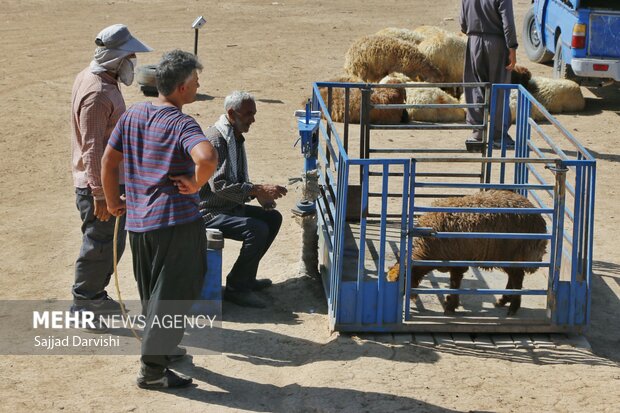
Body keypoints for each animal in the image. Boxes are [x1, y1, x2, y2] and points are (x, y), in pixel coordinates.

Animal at [388, 190, 548, 316]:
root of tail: (539, 221)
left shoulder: (457, 261)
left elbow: (455, 283)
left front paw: (450, 306)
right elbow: (454, 282)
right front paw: (450, 302)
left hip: (513, 253)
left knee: (517, 278)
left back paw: (513, 307)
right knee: (513, 277)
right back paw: (503, 300)